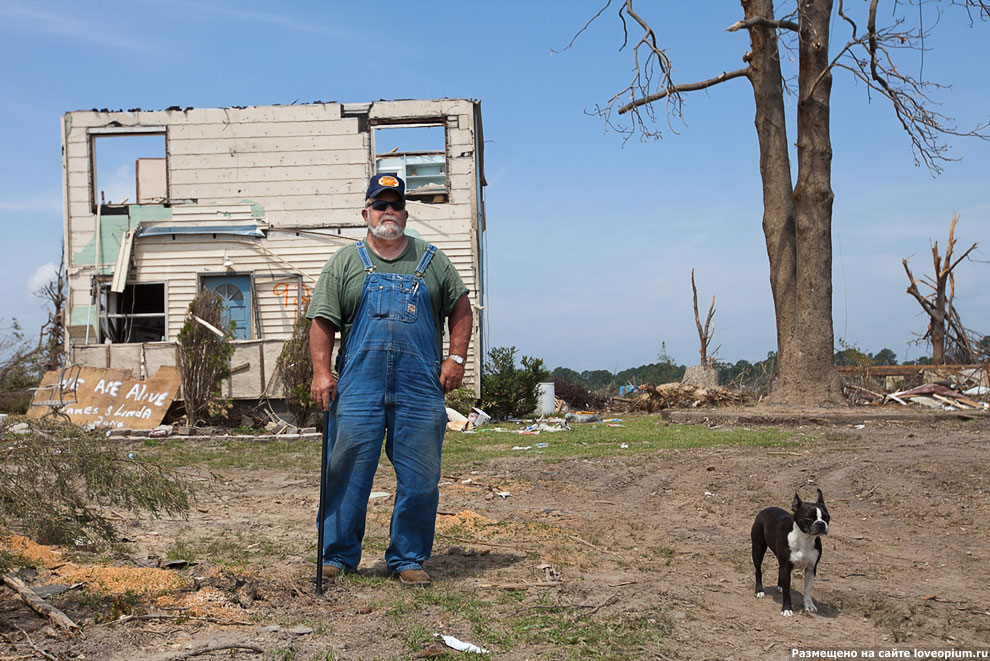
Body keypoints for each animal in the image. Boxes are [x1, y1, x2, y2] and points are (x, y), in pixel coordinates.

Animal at [752, 488, 828, 616]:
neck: (805, 539)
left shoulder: (811, 568)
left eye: (827, 517)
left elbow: (808, 589)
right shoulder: (786, 566)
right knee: (758, 570)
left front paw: (809, 605)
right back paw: (759, 591)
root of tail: (765, 509)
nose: (821, 523)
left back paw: (780, 585)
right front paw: (787, 609)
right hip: (758, 549)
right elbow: (787, 591)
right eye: (808, 518)